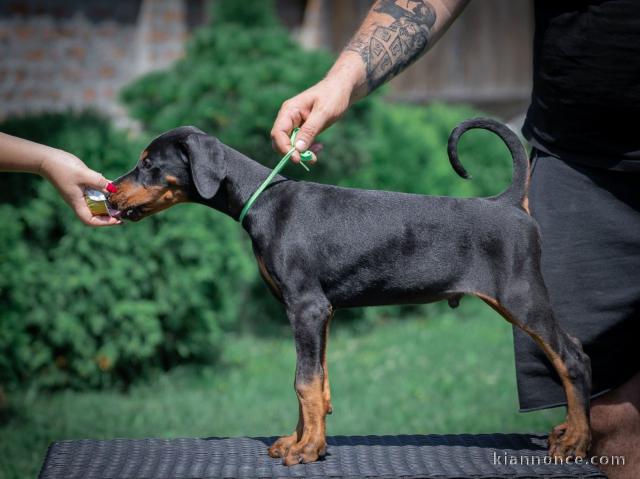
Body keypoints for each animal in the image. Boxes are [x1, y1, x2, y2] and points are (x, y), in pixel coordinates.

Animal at [107, 118, 592, 466]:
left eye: (148, 163)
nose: (110, 193)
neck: (263, 201)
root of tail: (507, 203)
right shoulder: (319, 312)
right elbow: (316, 382)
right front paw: (301, 441)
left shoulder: (305, 307)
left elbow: (303, 381)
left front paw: (306, 451)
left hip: (521, 295)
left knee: (572, 358)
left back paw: (578, 441)